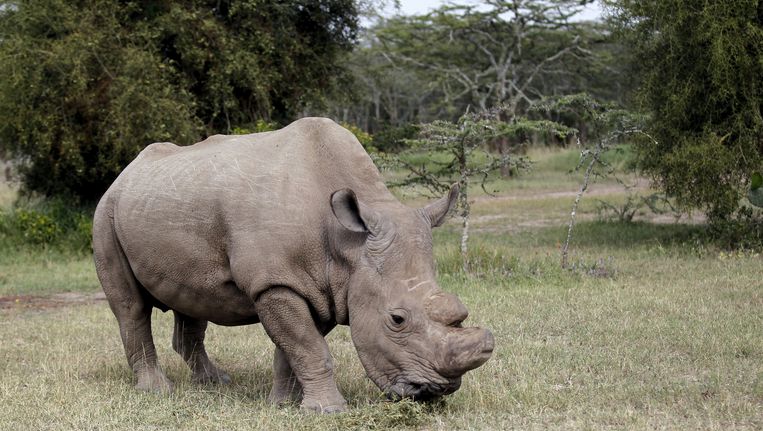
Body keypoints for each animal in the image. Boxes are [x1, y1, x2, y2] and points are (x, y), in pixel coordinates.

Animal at [93, 117, 494, 413]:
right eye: (397, 320)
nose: (432, 393)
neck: (348, 244)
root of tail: (126, 172)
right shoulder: (276, 283)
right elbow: (309, 346)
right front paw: (329, 411)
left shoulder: (323, 285)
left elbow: (296, 347)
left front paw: (286, 404)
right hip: (106, 212)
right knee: (131, 308)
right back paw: (158, 391)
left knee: (192, 299)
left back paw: (215, 382)